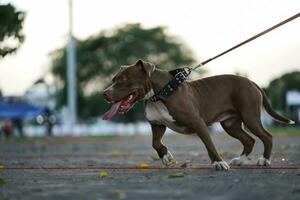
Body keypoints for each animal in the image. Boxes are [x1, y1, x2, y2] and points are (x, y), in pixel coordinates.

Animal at [102, 59, 292, 170]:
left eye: (123, 79)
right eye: (113, 79)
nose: (104, 93)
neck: (159, 94)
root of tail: (252, 82)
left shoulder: (197, 122)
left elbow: (209, 145)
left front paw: (218, 163)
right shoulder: (157, 124)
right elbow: (155, 143)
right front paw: (166, 157)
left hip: (249, 117)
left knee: (267, 136)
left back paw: (264, 161)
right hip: (231, 124)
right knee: (249, 140)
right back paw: (239, 160)